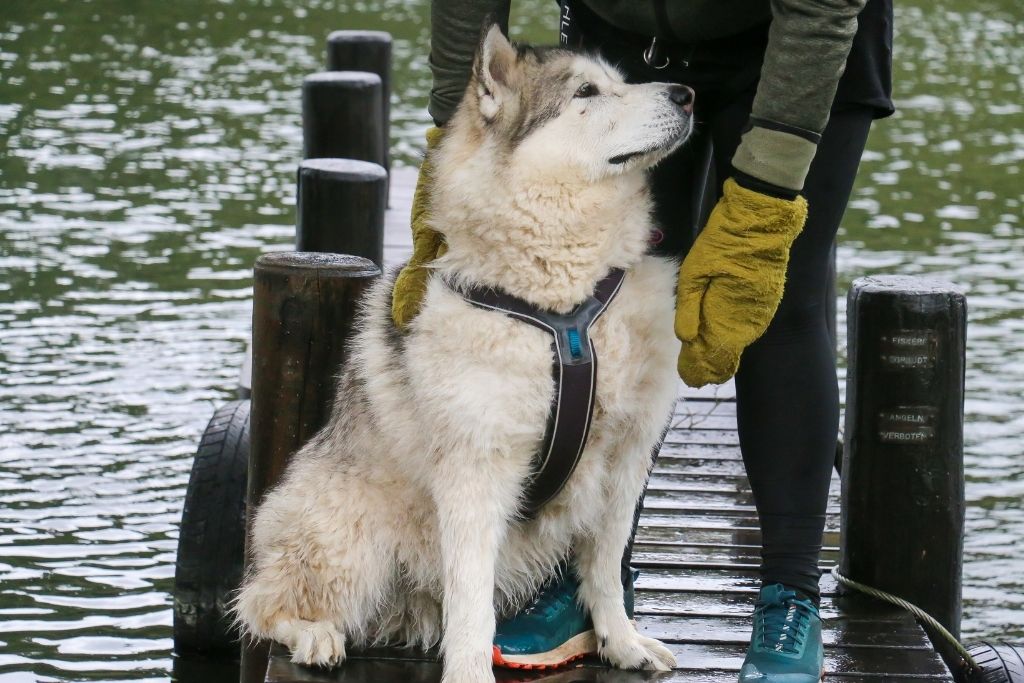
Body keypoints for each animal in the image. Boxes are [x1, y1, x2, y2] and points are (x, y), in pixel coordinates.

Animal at [233, 24, 696, 679]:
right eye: (586, 92)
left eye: (623, 80)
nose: (686, 94)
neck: (564, 305)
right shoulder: (477, 470)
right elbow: (472, 603)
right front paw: (471, 670)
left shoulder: (626, 457)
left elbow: (605, 569)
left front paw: (620, 640)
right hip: (349, 536)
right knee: (263, 604)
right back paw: (314, 635)